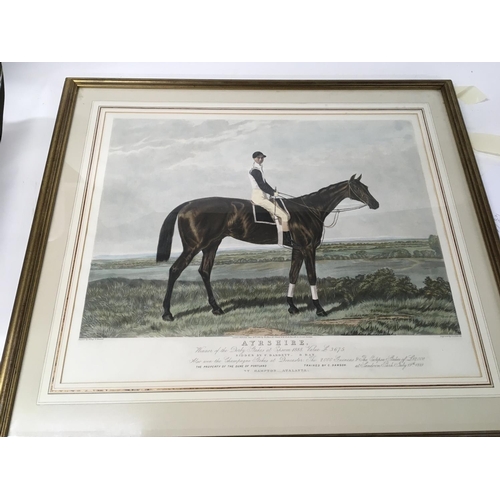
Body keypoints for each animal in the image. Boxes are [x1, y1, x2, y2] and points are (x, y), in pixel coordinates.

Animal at [156, 173, 378, 320]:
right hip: (193, 247)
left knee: (204, 271)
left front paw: (292, 306)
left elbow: (293, 275)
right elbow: (312, 277)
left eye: (367, 187)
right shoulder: (308, 248)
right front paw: (320, 309)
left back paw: (216, 308)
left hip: (211, 245)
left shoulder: (298, 249)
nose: (375, 204)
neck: (308, 210)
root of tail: (186, 205)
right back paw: (167, 313)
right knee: (175, 270)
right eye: (359, 188)